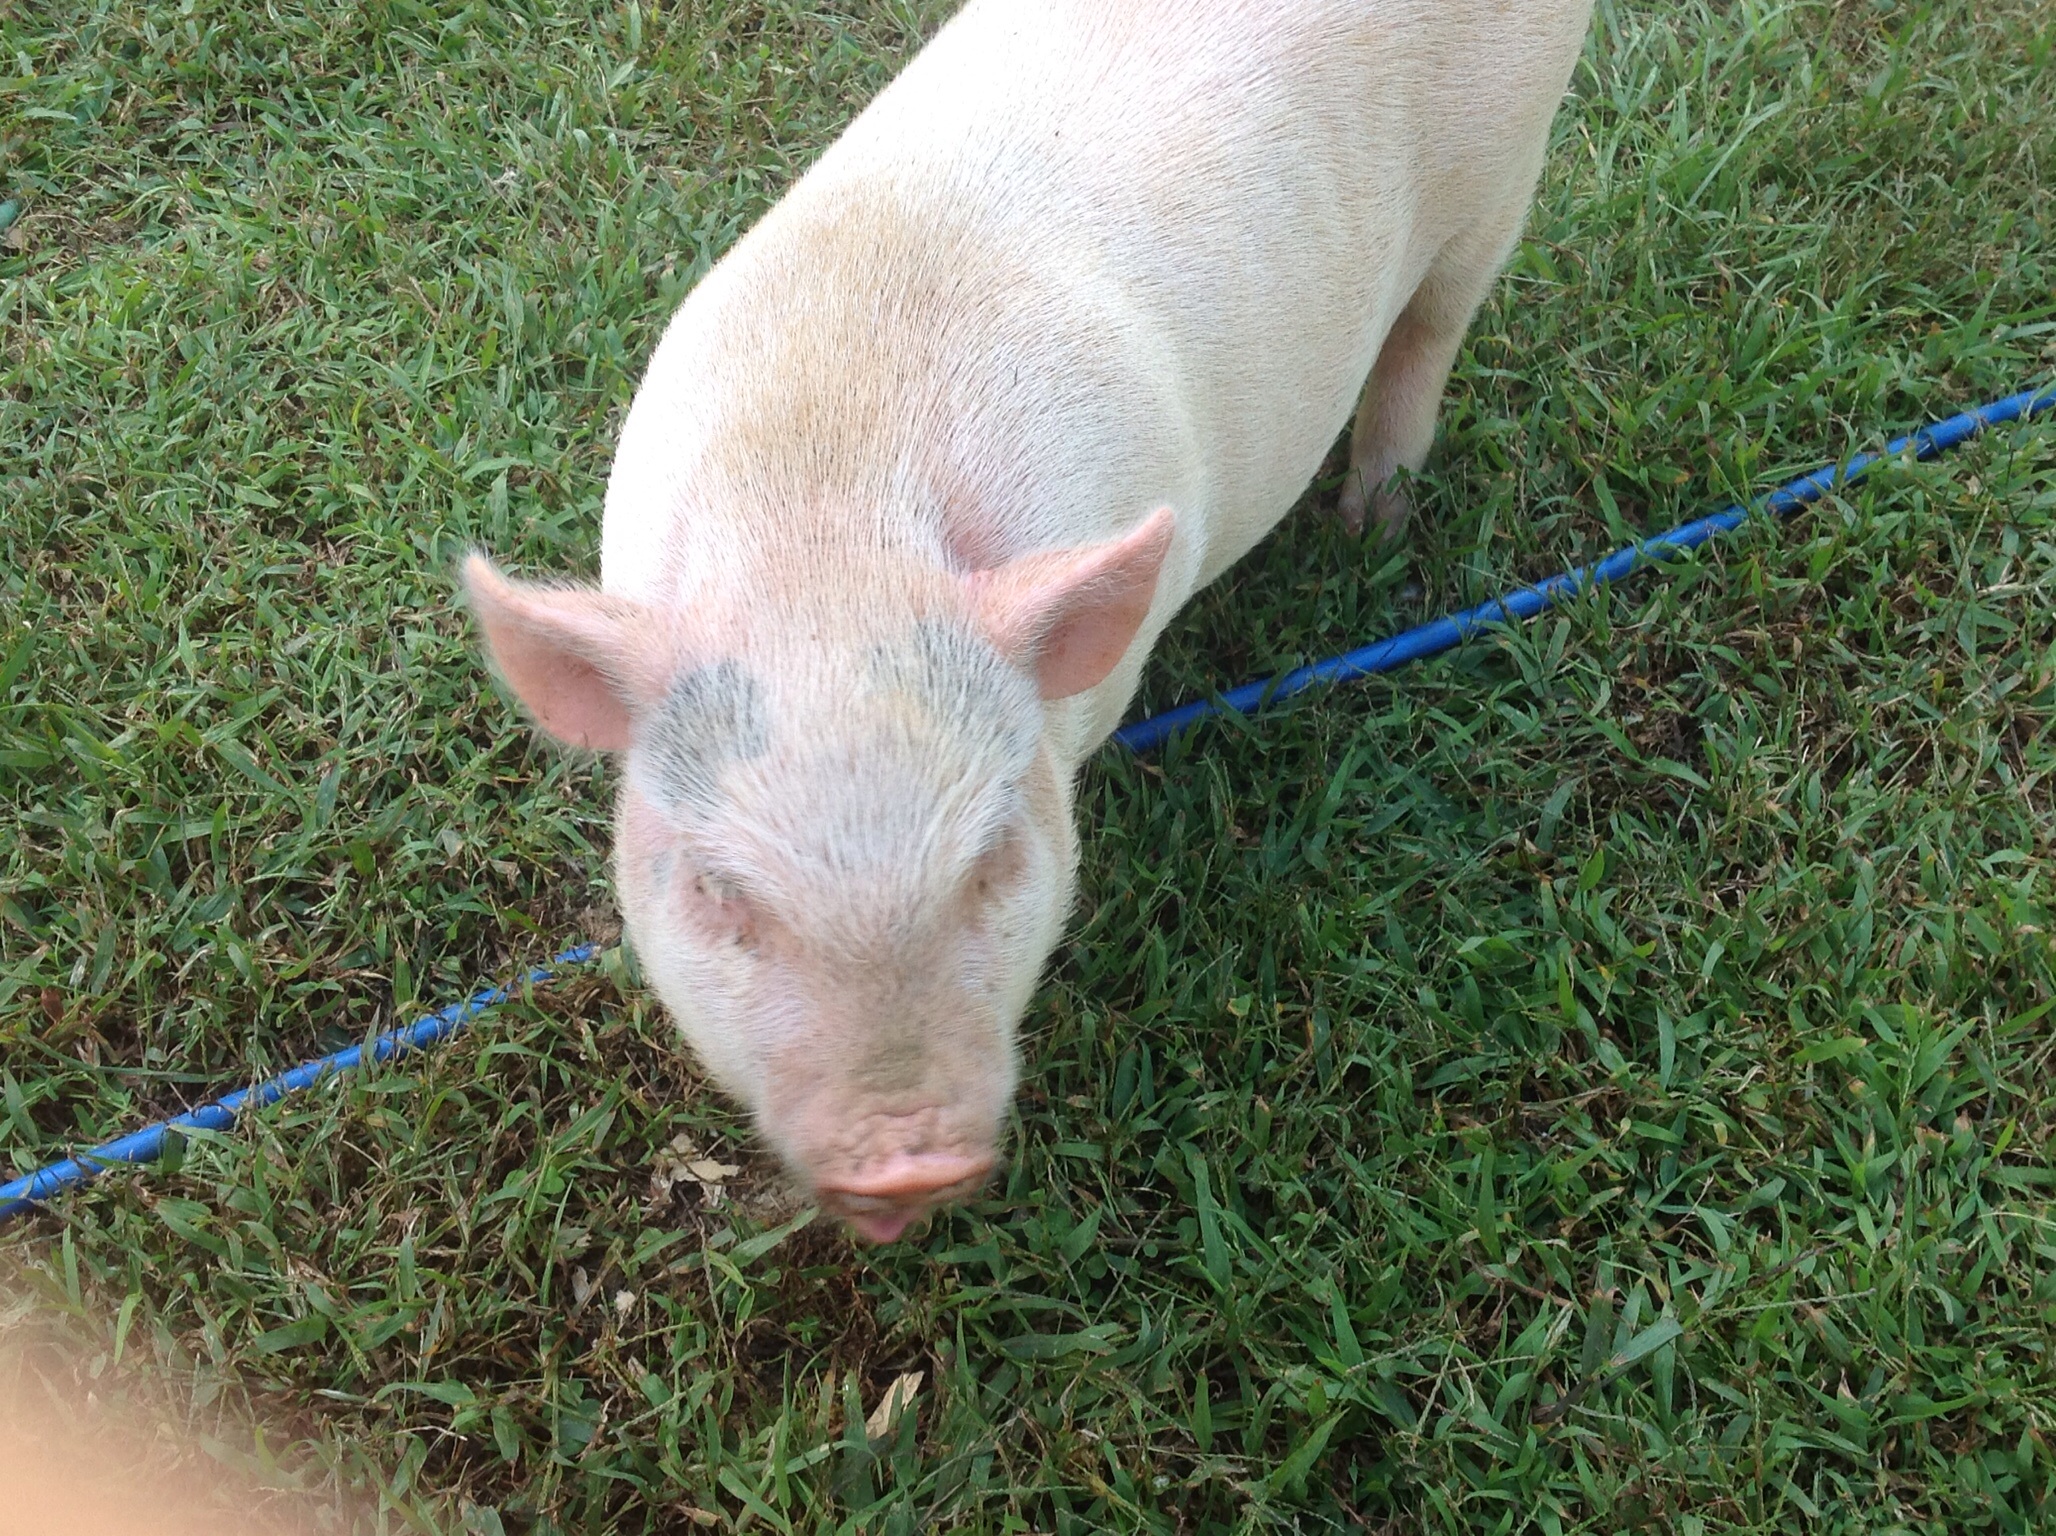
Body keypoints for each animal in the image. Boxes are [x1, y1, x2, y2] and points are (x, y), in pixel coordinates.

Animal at [462, 0, 1587, 1233]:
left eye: (992, 857)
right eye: (717, 891)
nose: (903, 1159)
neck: (824, 540)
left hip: (1503, 170)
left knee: (1430, 332)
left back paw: (1369, 529)